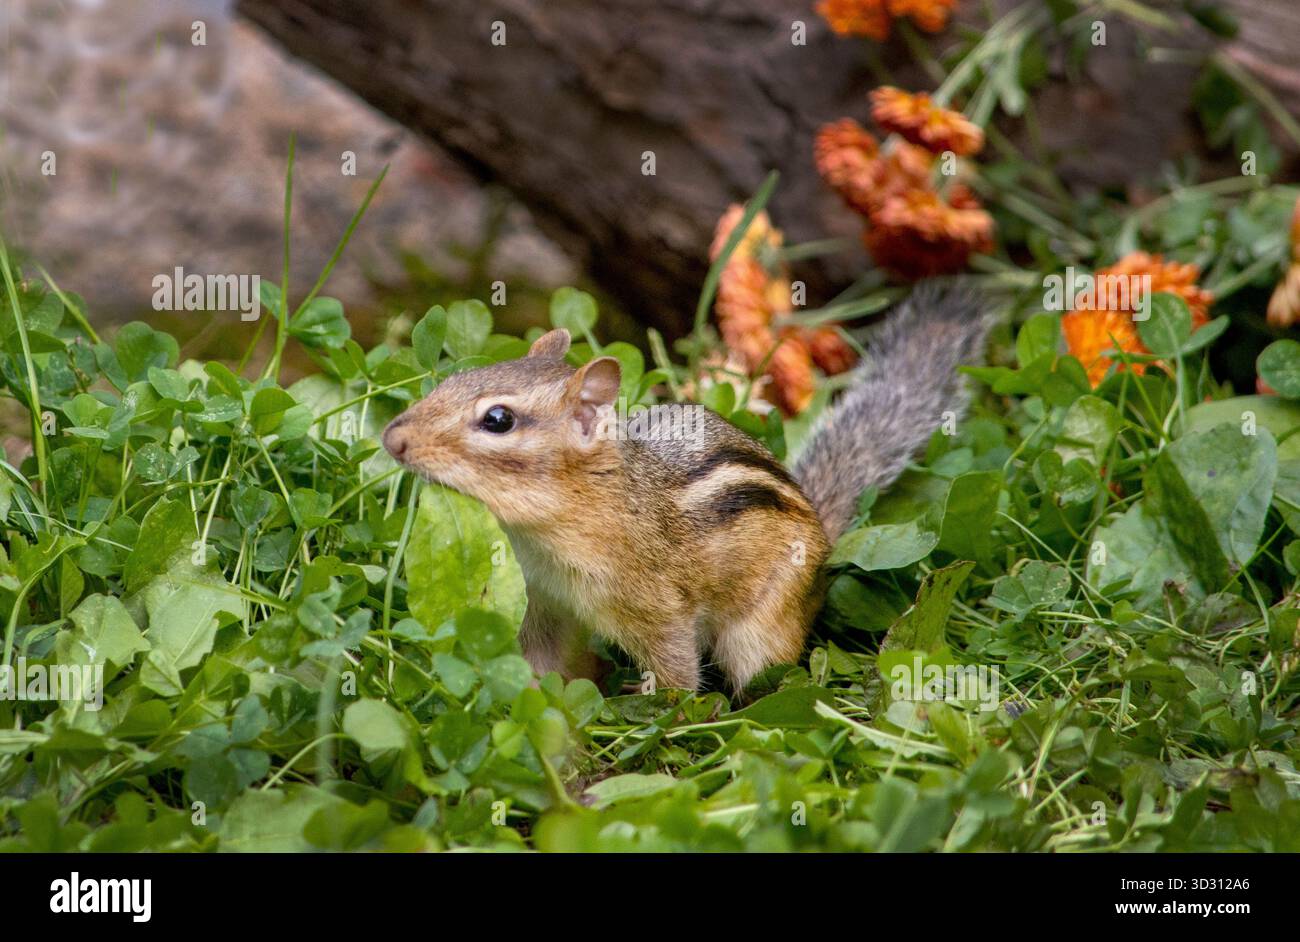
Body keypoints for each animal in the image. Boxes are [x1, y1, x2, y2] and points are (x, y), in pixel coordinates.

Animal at [383, 283, 990, 693]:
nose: (393, 438)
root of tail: (821, 528)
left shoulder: (656, 609)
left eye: (498, 420)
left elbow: (675, 672)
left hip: (762, 629)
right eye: (454, 380)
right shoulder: (542, 603)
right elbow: (540, 664)